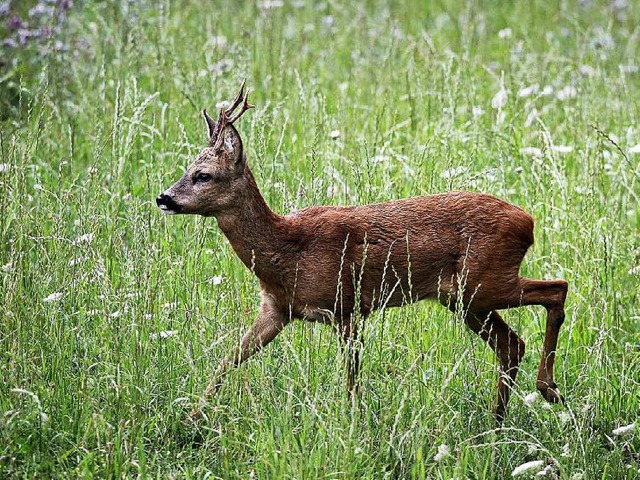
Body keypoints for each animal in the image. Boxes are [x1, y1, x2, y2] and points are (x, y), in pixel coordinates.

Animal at [158, 81, 568, 424]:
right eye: (186, 169)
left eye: (204, 175)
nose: (164, 198)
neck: (286, 252)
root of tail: (528, 222)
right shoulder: (276, 310)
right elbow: (227, 362)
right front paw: (190, 417)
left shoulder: (346, 306)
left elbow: (352, 380)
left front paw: (356, 427)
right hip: (462, 298)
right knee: (512, 344)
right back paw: (496, 423)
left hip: (483, 282)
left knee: (557, 289)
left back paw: (547, 390)